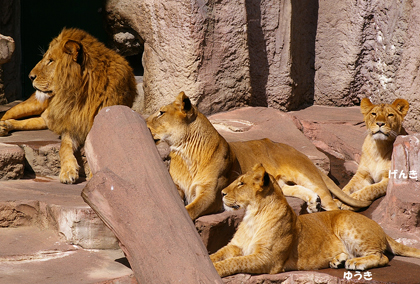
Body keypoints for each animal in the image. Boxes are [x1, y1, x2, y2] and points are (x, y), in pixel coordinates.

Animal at [0, 28, 137, 184]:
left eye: (51, 61)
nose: (30, 76)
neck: (79, 93)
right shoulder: (71, 125)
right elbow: (63, 147)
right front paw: (68, 171)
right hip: (32, 105)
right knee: (7, 114)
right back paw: (2, 127)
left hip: (45, 120)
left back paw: (7, 126)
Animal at [146, 91, 370, 220]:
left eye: (160, 113)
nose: (144, 123)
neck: (184, 152)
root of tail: (296, 150)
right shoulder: (177, 186)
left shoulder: (211, 192)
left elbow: (190, 209)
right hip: (276, 184)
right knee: (295, 190)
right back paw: (313, 203)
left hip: (305, 173)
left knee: (331, 202)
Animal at [210, 164, 420, 278]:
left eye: (241, 184)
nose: (222, 193)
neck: (252, 216)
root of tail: (381, 229)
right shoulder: (235, 246)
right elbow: (218, 254)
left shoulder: (268, 259)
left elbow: (235, 262)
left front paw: (216, 269)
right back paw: (339, 260)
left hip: (346, 223)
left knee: (381, 256)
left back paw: (356, 263)